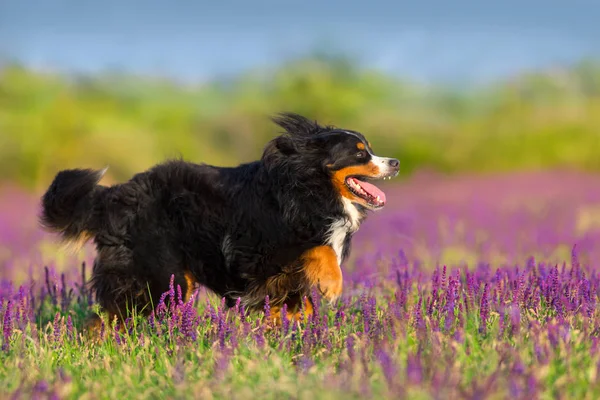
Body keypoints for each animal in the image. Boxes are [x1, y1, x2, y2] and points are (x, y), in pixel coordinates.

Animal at [39, 112, 400, 328]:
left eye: (368, 148)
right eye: (359, 152)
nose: (395, 162)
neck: (308, 188)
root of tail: (115, 194)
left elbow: (296, 304)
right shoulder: (259, 252)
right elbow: (318, 250)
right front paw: (332, 285)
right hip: (158, 272)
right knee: (115, 315)